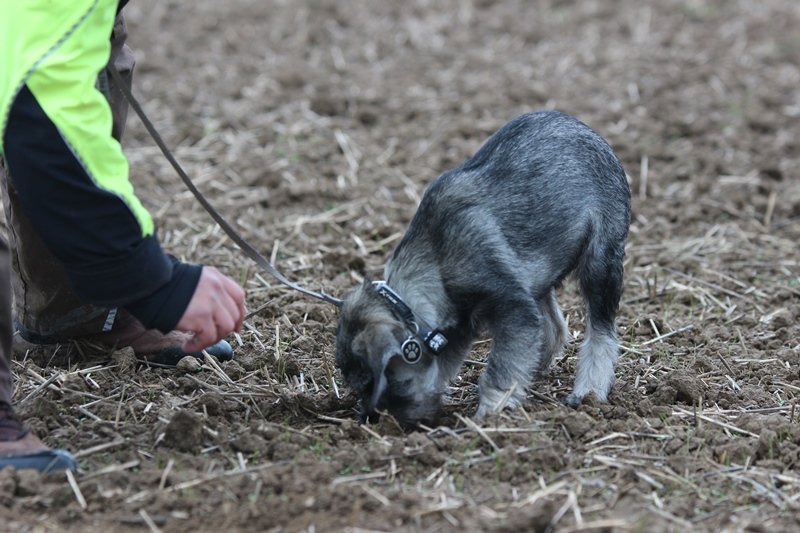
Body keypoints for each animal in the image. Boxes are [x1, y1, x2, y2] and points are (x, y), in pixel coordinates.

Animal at [332, 110, 632, 426]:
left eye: (381, 381)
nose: (384, 420)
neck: (436, 261)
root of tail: (587, 130)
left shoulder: (513, 309)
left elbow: (500, 368)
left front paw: (490, 414)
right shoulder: (462, 324)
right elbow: (446, 364)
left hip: (601, 263)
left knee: (601, 331)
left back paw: (589, 391)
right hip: (539, 274)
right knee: (554, 325)